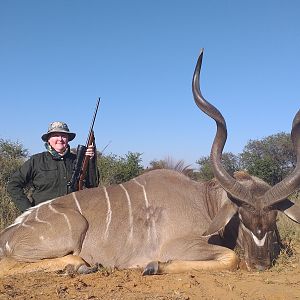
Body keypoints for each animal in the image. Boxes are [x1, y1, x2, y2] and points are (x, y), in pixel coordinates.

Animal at [0, 49, 300, 276]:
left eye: (273, 219)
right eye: (241, 218)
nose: (260, 265)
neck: (203, 200)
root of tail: (8, 235)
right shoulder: (179, 246)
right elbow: (230, 258)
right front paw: (151, 265)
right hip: (72, 228)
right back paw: (82, 266)